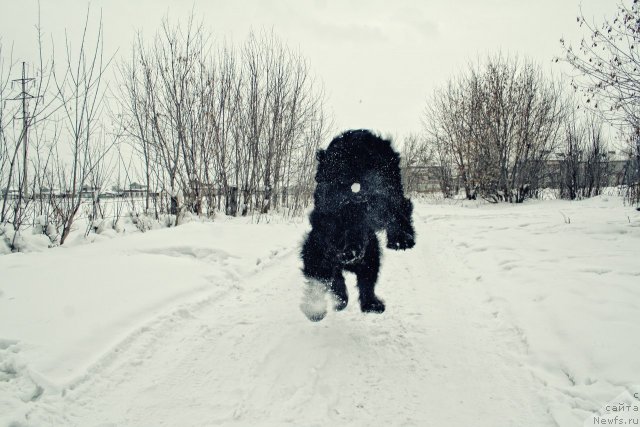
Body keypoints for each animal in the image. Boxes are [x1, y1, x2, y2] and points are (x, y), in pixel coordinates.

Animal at [300, 130, 416, 320]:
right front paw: (321, 306)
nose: (347, 253)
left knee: (399, 209)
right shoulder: (317, 248)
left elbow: (366, 281)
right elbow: (327, 278)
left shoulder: (369, 253)